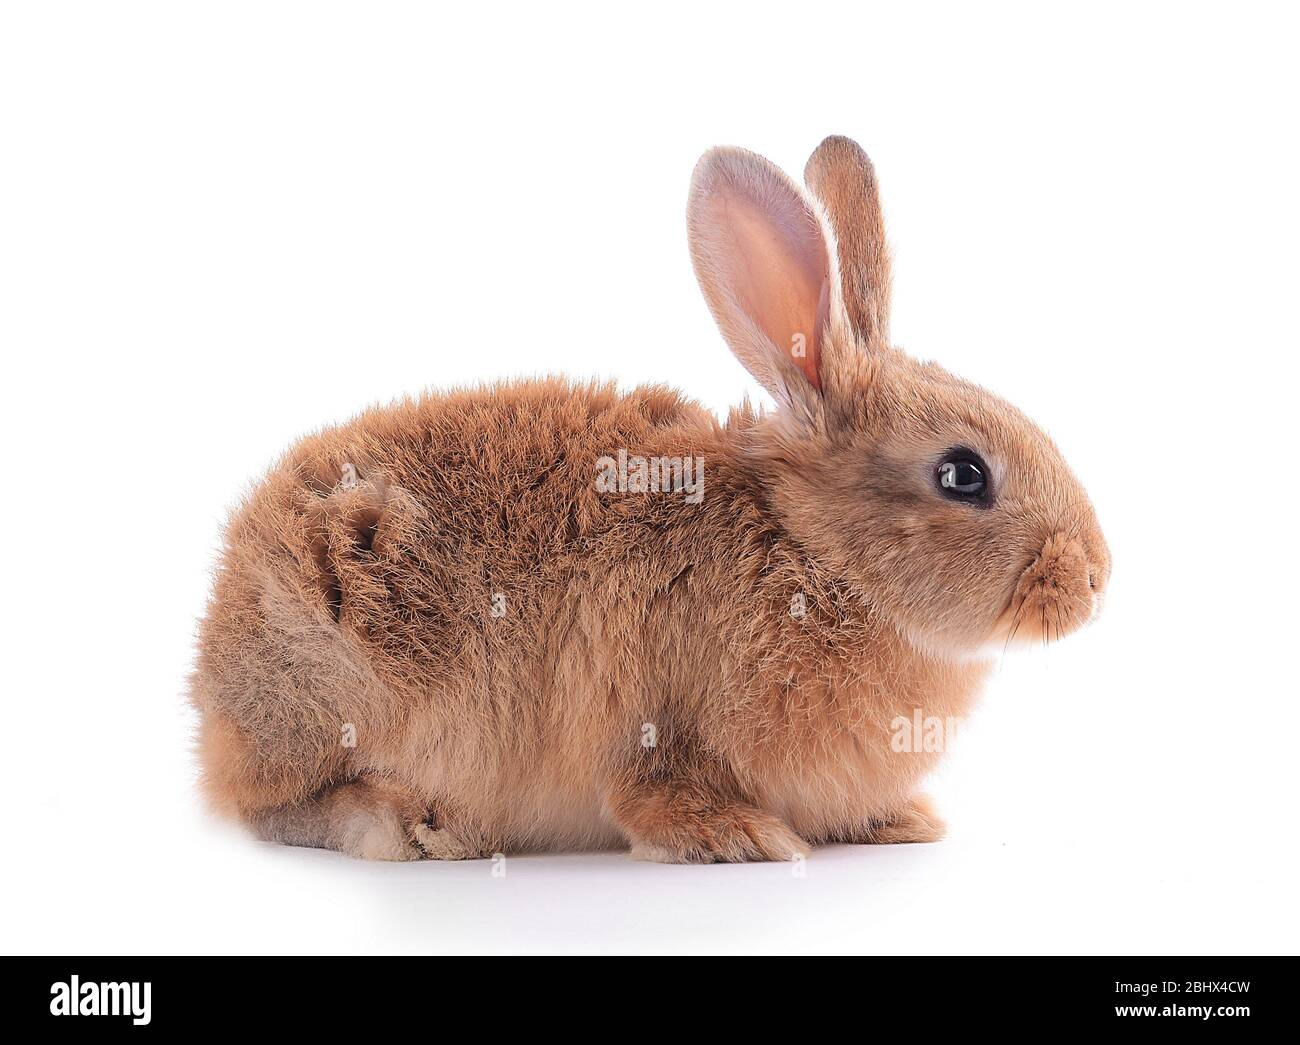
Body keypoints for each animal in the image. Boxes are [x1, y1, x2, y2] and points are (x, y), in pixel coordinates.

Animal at [190, 136, 1109, 862]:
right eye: (964, 474)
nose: (1096, 578)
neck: (816, 556)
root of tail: (211, 676)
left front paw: (903, 821)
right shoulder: (652, 718)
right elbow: (653, 791)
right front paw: (743, 837)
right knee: (274, 805)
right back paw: (406, 823)